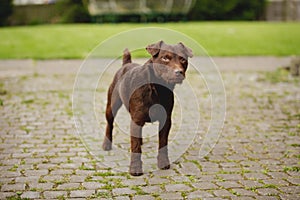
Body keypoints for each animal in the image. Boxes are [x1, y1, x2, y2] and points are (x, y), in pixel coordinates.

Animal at [102, 40, 192, 175]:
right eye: (165, 58)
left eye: (183, 59)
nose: (178, 72)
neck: (157, 88)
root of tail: (126, 65)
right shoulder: (136, 119)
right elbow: (135, 147)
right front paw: (135, 168)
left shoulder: (166, 121)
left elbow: (163, 143)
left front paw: (163, 163)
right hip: (112, 105)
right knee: (110, 123)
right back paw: (106, 144)